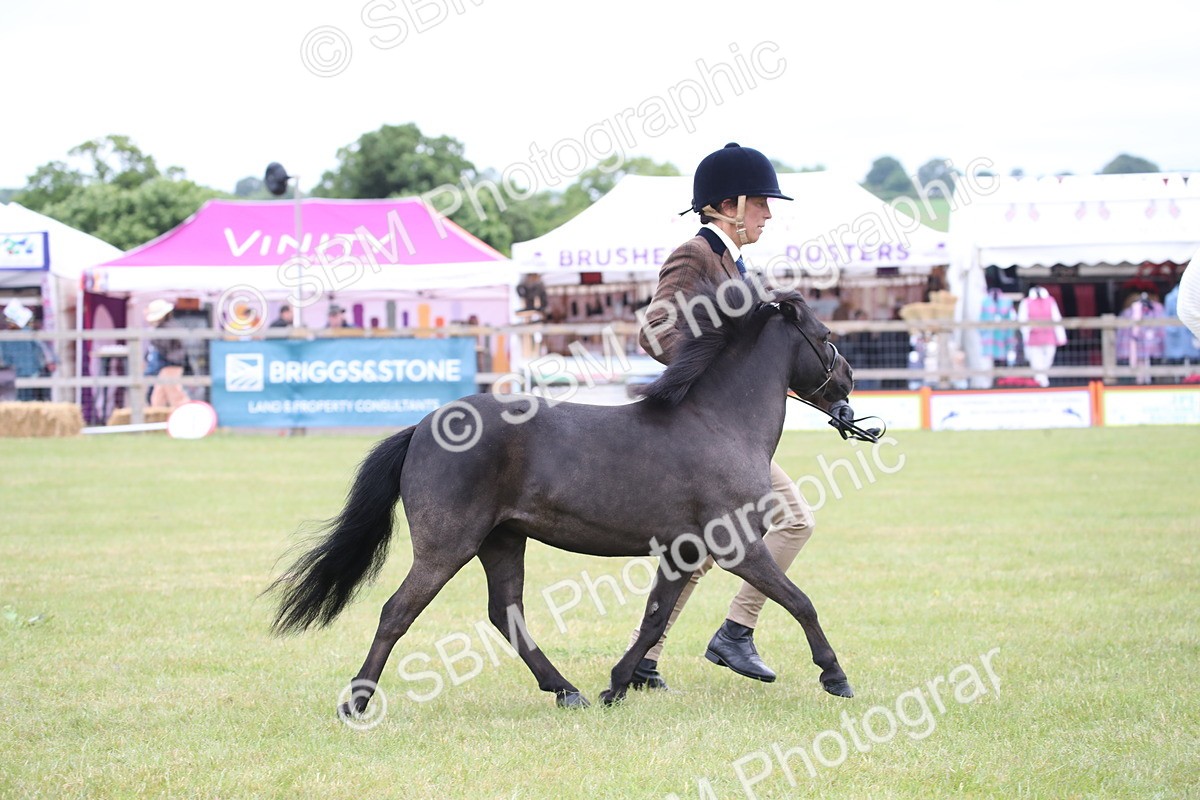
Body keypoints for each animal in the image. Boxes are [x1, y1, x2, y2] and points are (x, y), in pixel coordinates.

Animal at [267, 284, 857, 719]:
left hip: (502, 542)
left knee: (505, 615)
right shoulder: (737, 546)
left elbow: (654, 617)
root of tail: (423, 428)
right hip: (447, 547)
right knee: (397, 612)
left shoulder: (682, 552)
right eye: (825, 334)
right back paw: (357, 702)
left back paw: (567, 690)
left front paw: (616, 687)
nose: (848, 383)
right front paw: (836, 677)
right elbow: (800, 601)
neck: (718, 423)